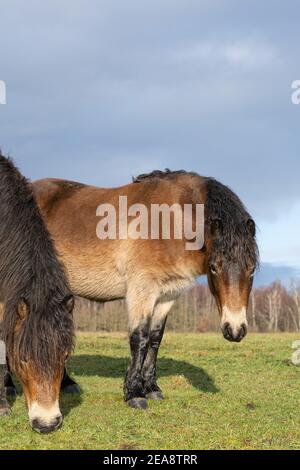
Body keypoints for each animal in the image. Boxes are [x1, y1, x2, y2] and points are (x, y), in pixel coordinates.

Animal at [9, 168, 258, 408]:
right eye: (214, 268)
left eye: (252, 268)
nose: (235, 330)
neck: (172, 220)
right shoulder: (142, 289)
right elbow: (140, 338)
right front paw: (135, 393)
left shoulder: (167, 295)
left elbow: (155, 339)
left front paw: (152, 388)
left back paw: (67, 383)